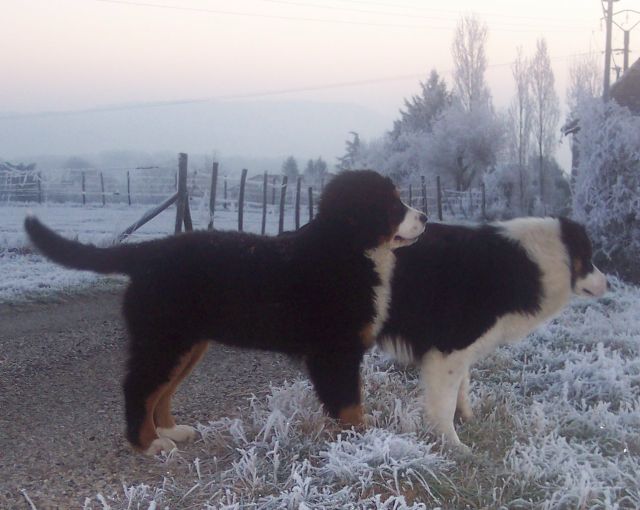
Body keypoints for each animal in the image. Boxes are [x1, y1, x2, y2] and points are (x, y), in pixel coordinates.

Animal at [25, 170, 428, 454]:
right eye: (392, 205)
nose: (425, 217)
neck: (346, 248)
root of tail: (149, 252)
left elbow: (352, 398)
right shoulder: (335, 351)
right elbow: (347, 403)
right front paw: (363, 439)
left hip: (185, 344)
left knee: (161, 390)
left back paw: (169, 430)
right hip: (163, 340)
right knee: (139, 387)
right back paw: (149, 444)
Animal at [378, 217, 608, 448]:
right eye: (587, 259)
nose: (607, 283)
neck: (534, 262)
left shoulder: (460, 353)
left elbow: (462, 386)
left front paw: (466, 418)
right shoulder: (449, 350)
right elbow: (445, 403)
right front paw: (453, 444)